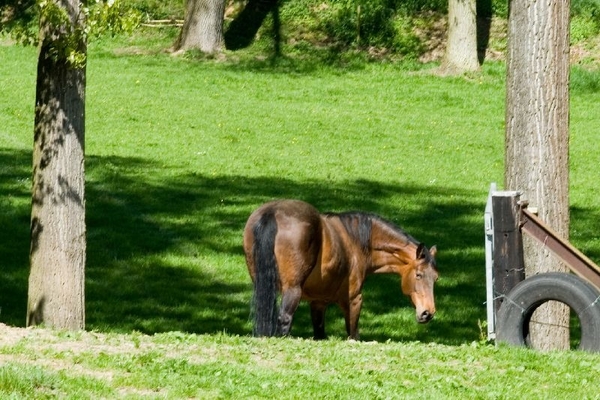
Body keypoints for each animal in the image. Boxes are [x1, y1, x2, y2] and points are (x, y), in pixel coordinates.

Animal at [241, 198, 438, 340]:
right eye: (419, 275)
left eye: (436, 278)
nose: (428, 313)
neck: (356, 240)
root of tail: (272, 212)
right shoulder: (353, 301)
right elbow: (353, 335)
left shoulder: (318, 303)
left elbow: (320, 333)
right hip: (292, 291)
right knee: (285, 319)